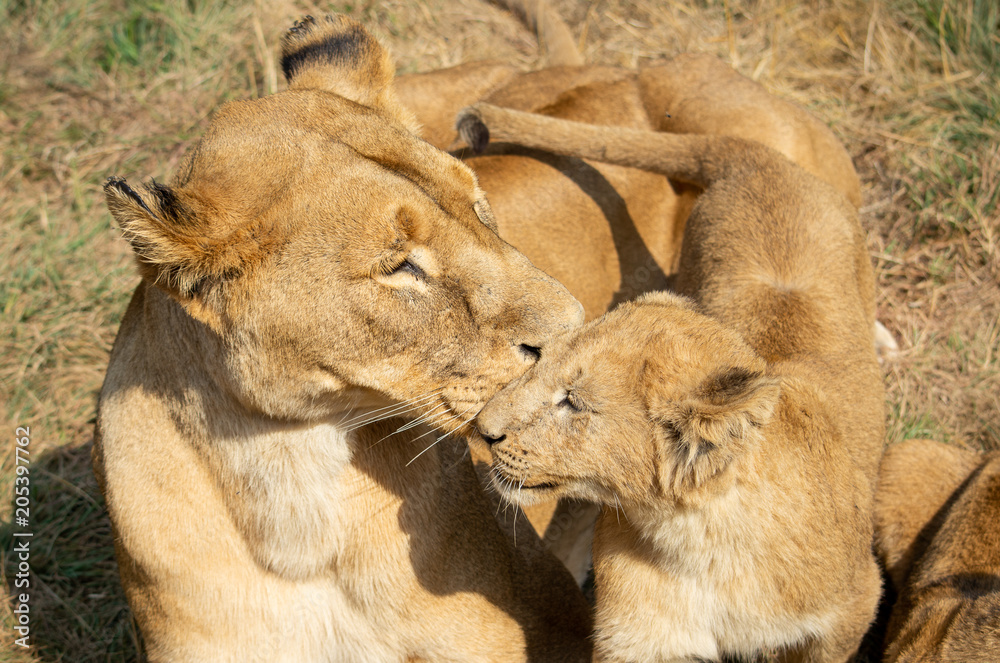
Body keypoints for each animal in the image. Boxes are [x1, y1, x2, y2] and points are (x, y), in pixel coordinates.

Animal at [464, 105, 885, 662]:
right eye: (537, 361)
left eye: (573, 403)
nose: (483, 430)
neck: (699, 541)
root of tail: (756, 161)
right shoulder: (640, 636)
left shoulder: (854, 603)